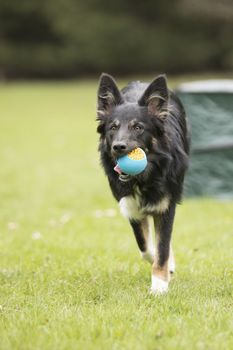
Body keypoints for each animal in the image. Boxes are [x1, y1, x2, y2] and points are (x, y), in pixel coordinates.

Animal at [96, 74, 189, 296]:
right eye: (113, 127)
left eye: (138, 127)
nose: (118, 147)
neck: (146, 176)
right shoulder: (130, 207)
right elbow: (146, 247)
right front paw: (164, 271)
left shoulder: (166, 206)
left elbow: (162, 247)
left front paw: (159, 286)